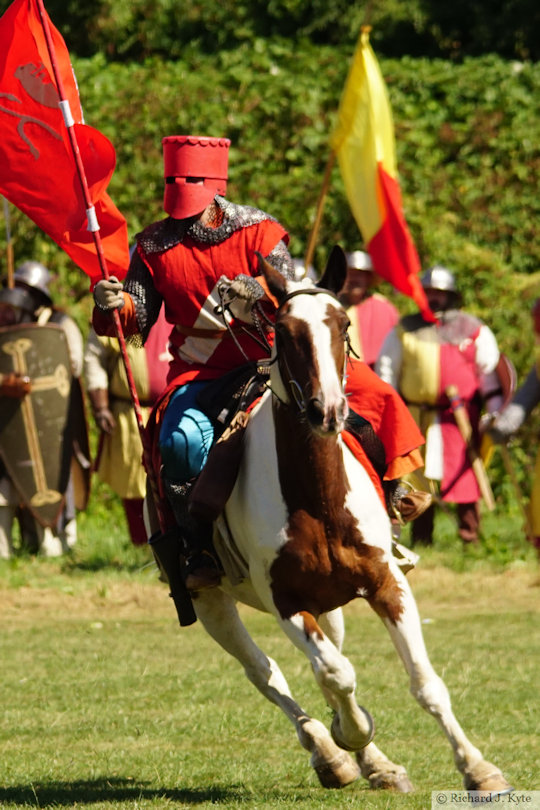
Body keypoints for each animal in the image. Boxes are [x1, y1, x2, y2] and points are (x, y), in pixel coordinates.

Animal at [182, 249, 516, 792]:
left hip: (331, 602)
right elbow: (337, 675)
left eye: (342, 324)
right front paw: (350, 734)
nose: (328, 410)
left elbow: (425, 683)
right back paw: (329, 751)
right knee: (267, 673)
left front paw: (478, 768)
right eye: (283, 331)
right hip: (211, 602)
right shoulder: (286, 602)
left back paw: (373, 762)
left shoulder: (386, 582)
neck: (318, 498)